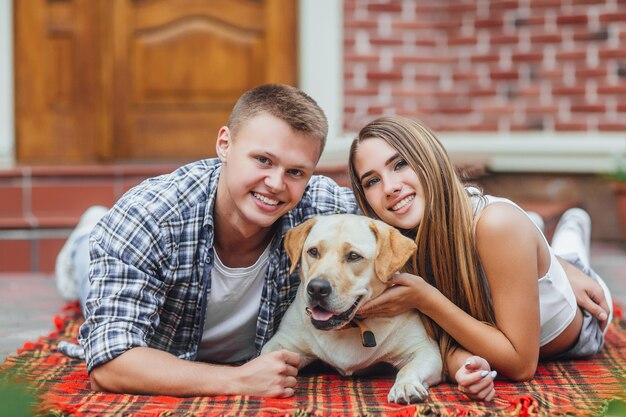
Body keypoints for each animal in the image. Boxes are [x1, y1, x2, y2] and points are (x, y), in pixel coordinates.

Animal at [260, 213, 442, 402]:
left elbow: (408, 368)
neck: (348, 328)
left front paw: (406, 385)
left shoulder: (425, 349)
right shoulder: (281, 343)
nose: (316, 288)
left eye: (354, 256)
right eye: (313, 251)